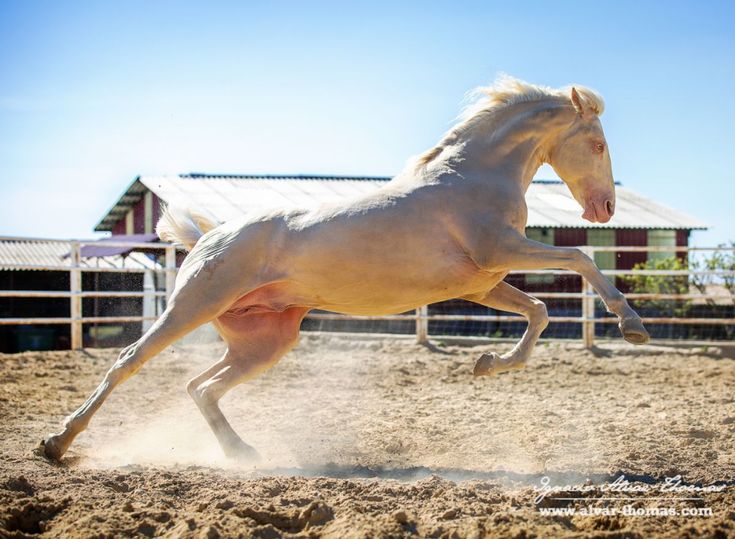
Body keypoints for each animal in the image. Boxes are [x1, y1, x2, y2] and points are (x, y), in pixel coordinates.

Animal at [43, 76, 648, 462]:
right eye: (597, 145)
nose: (604, 210)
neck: (472, 177)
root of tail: (207, 237)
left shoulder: (482, 282)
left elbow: (539, 310)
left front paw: (487, 364)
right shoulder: (500, 253)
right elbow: (580, 259)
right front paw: (632, 326)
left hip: (265, 341)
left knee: (201, 387)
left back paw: (242, 452)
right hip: (191, 308)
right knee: (128, 363)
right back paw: (57, 444)